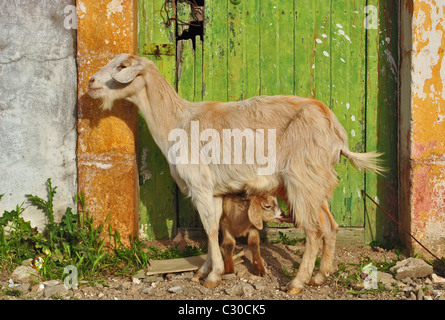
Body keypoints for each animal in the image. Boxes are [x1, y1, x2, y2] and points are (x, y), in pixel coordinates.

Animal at [87, 53, 382, 296]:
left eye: (121, 66)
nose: (90, 82)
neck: (177, 121)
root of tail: (336, 132)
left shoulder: (200, 185)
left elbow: (209, 228)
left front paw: (214, 276)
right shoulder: (215, 192)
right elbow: (214, 227)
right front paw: (203, 270)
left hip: (302, 180)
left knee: (314, 229)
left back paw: (297, 283)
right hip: (316, 183)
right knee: (330, 226)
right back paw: (320, 276)